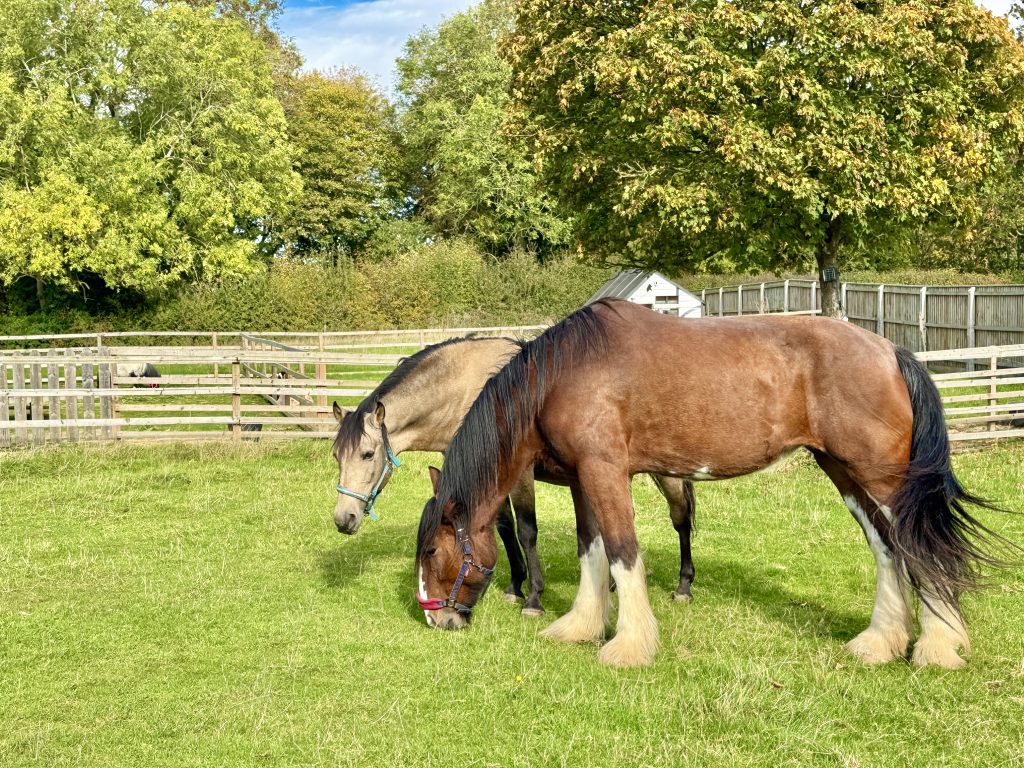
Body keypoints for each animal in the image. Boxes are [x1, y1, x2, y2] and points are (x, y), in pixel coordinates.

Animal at [331, 336, 698, 616]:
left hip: (667, 475)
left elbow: (526, 530)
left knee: (680, 519)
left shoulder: (521, 474)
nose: (343, 519)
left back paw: (683, 585)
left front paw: (534, 597)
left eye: (367, 454)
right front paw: (515, 585)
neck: (468, 391)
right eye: (336, 456)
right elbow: (504, 527)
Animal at [415, 298, 1009, 669]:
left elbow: (623, 552)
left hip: (883, 478)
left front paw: (629, 646)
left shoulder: (605, 471)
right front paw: (581, 626)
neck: (564, 375)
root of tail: (890, 351)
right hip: (843, 471)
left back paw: (937, 648)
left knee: (915, 548)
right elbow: (593, 551)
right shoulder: (585, 479)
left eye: (433, 551)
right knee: (887, 551)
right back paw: (879, 643)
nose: (436, 619)